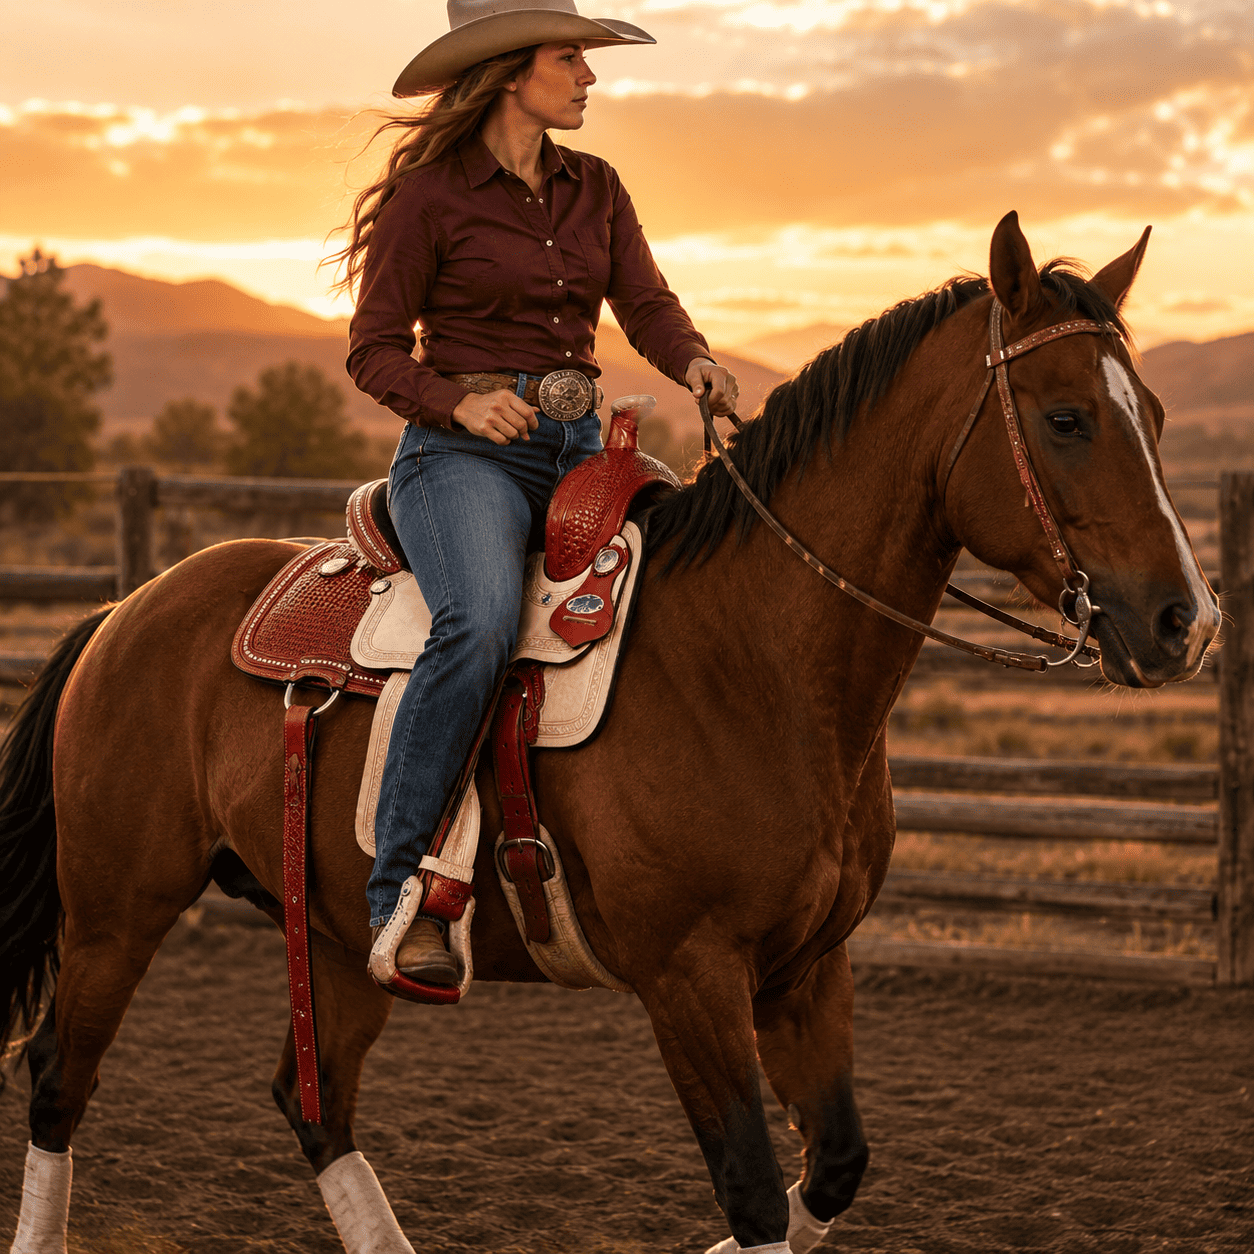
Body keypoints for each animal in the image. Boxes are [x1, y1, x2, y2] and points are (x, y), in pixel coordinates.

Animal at [0, 212, 1219, 1254]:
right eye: (1065, 418)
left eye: (1158, 418)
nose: (1187, 622)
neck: (751, 663)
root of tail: (128, 609)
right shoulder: (691, 979)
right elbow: (753, 1187)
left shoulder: (809, 967)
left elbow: (830, 1168)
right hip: (119, 908)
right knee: (61, 1076)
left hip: (343, 938)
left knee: (314, 1101)